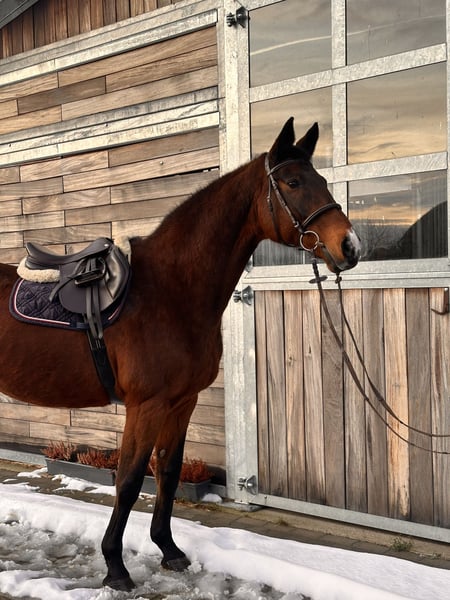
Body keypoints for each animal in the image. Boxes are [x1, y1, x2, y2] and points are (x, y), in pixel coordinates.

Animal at [0, 118, 361, 590]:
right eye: (294, 182)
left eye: (322, 180)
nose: (350, 247)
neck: (170, 290)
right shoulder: (146, 405)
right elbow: (130, 479)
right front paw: (116, 567)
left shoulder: (181, 403)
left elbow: (168, 474)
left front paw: (168, 549)